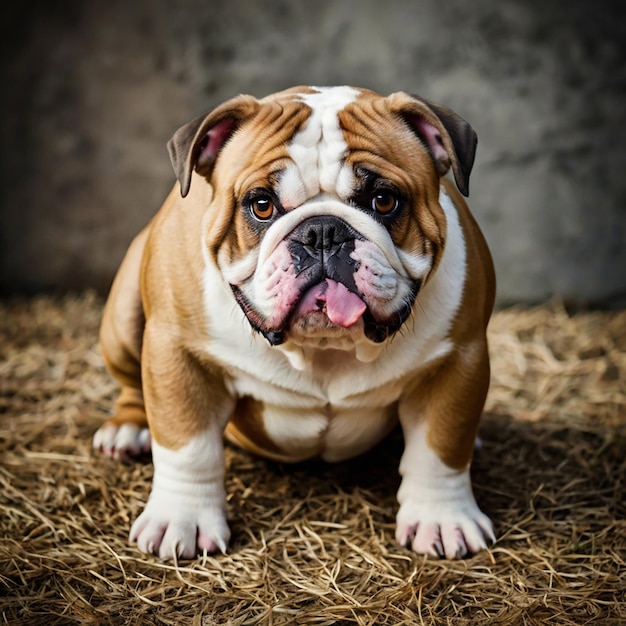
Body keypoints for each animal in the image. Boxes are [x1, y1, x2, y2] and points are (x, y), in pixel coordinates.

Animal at [92, 84, 494, 560]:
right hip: (124, 318)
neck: (323, 350)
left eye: (384, 200)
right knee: (133, 383)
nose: (323, 231)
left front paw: (443, 519)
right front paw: (182, 518)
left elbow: (441, 447)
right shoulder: (178, 353)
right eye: (262, 205)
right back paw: (128, 428)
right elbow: (187, 445)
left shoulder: (459, 359)